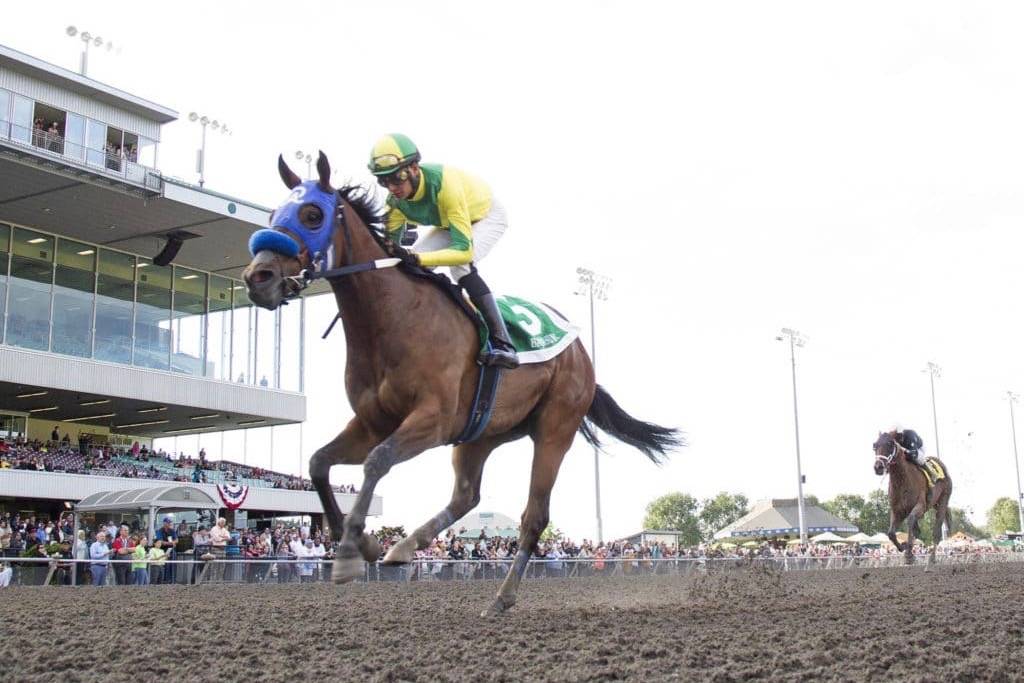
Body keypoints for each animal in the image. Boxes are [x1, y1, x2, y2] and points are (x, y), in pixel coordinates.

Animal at [243, 153, 684, 614]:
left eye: (313, 215)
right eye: (273, 215)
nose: (258, 277)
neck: (391, 319)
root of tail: (580, 349)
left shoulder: (431, 421)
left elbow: (376, 462)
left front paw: (348, 553)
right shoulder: (372, 423)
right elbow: (318, 463)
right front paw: (363, 542)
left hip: (555, 428)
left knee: (534, 517)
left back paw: (501, 597)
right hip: (481, 433)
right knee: (467, 496)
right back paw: (403, 547)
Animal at [872, 430, 950, 565]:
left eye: (890, 444)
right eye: (875, 446)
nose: (878, 467)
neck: (902, 480)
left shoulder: (920, 506)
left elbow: (910, 521)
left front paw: (908, 554)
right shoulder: (897, 511)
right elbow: (891, 533)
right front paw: (903, 547)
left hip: (943, 500)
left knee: (936, 532)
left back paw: (932, 558)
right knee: (917, 530)